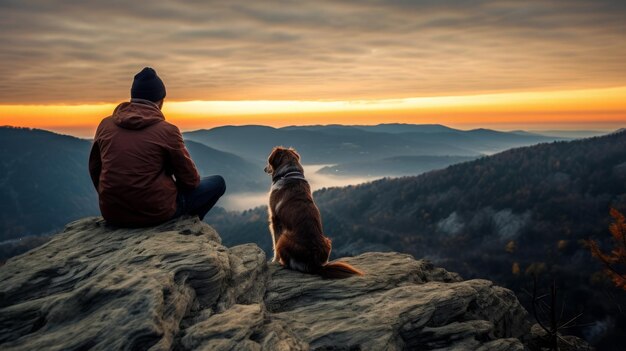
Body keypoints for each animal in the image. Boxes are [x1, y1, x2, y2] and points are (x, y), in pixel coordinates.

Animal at [262, 147, 360, 280]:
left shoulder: (275, 220)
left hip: (284, 238)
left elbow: (274, 242)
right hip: (328, 241)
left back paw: (283, 262)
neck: (289, 173)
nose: (264, 169)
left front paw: (274, 261)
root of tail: (315, 264)